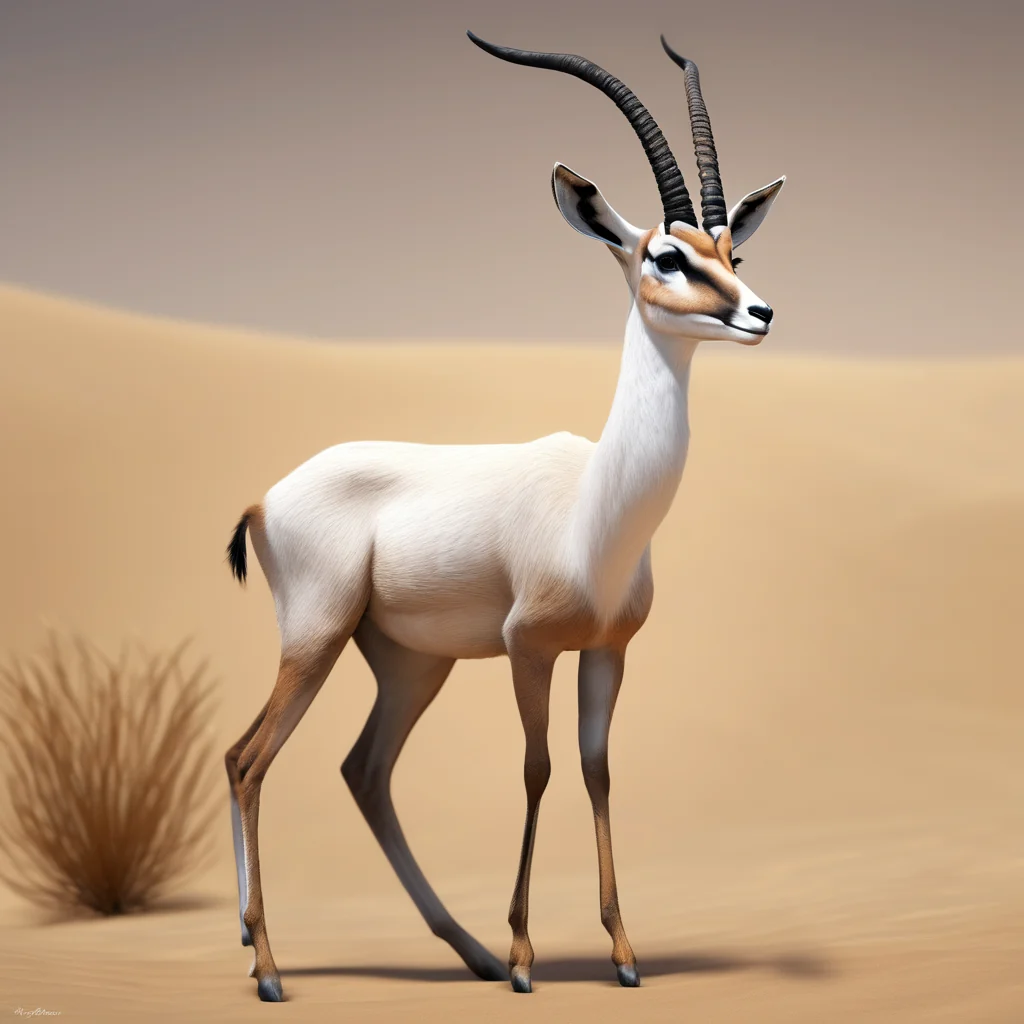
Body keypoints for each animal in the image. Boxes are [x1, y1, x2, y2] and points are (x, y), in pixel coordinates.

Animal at [223, 31, 785, 1001]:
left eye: (731, 254)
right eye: (665, 257)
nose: (759, 313)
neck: (596, 507)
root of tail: (267, 495)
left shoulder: (607, 651)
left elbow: (597, 772)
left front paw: (622, 953)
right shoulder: (529, 649)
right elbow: (537, 769)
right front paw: (528, 957)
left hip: (410, 663)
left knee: (361, 770)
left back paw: (467, 953)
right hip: (317, 638)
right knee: (250, 760)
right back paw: (268, 968)